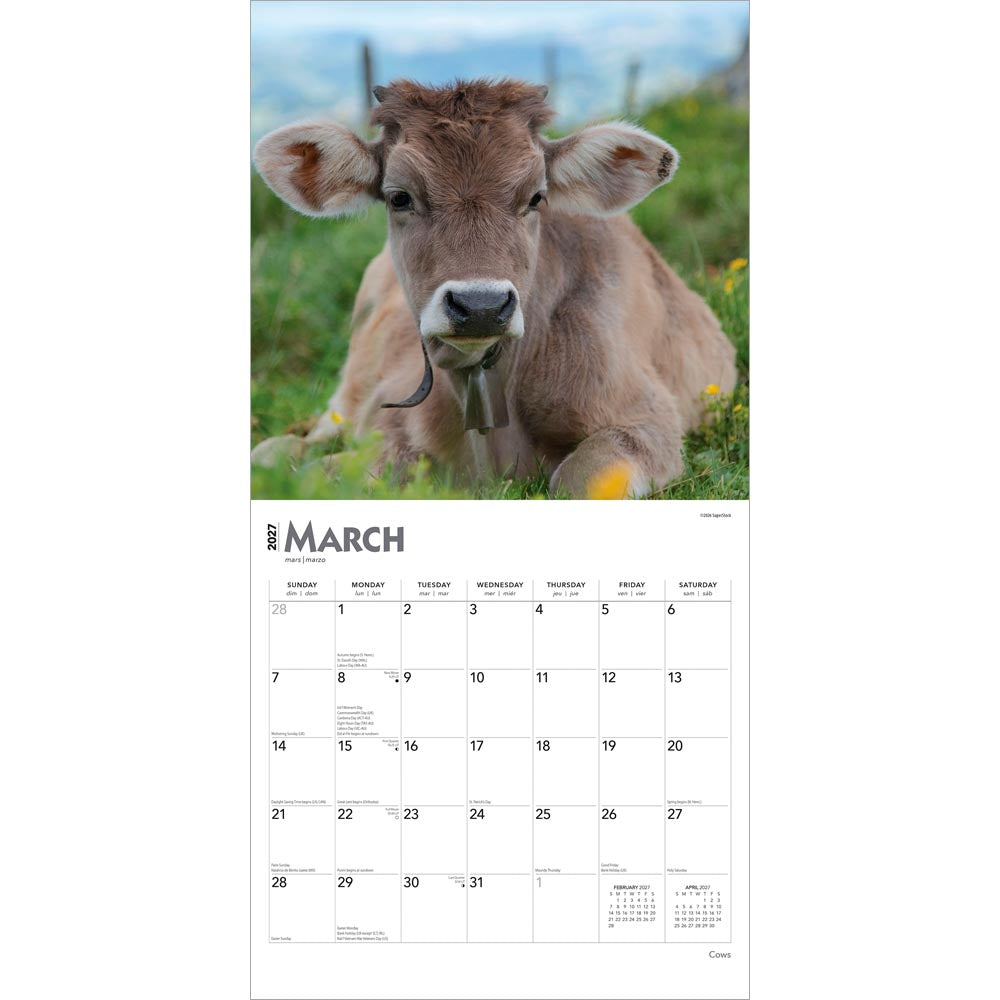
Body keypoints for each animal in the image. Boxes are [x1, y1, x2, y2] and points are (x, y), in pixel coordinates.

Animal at [252, 79, 737, 497]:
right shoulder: (389, 426)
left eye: (537, 197)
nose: (480, 305)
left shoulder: (646, 419)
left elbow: (580, 479)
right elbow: (340, 471)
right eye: (399, 197)